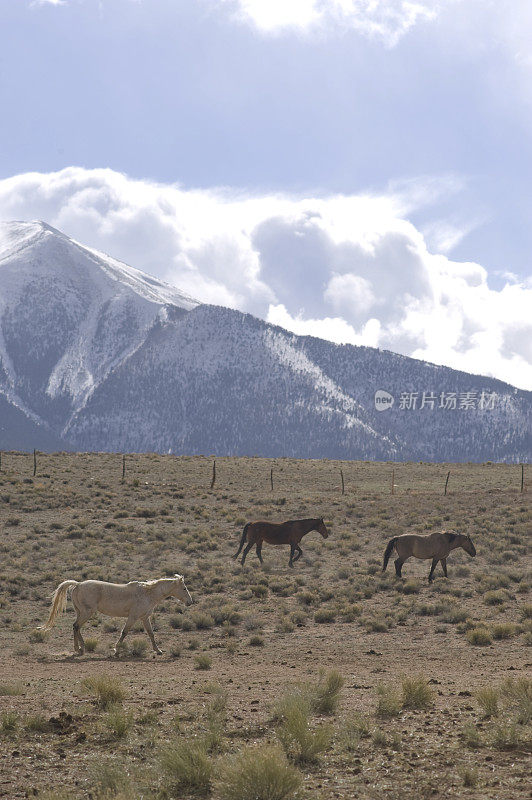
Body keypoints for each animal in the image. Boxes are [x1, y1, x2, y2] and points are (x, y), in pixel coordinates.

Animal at [41, 576, 193, 656]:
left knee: (75, 627)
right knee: (76, 626)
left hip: (81, 612)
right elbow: (124, 632)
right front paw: (116, 650)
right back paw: (79, 649)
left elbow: (151, 634)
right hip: (86, 613)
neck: (147, 593)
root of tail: (78, 584)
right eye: (184, 588)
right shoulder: (133, 617)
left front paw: (158, 650)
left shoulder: (144, 618)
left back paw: (80, 648)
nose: (190, 602)